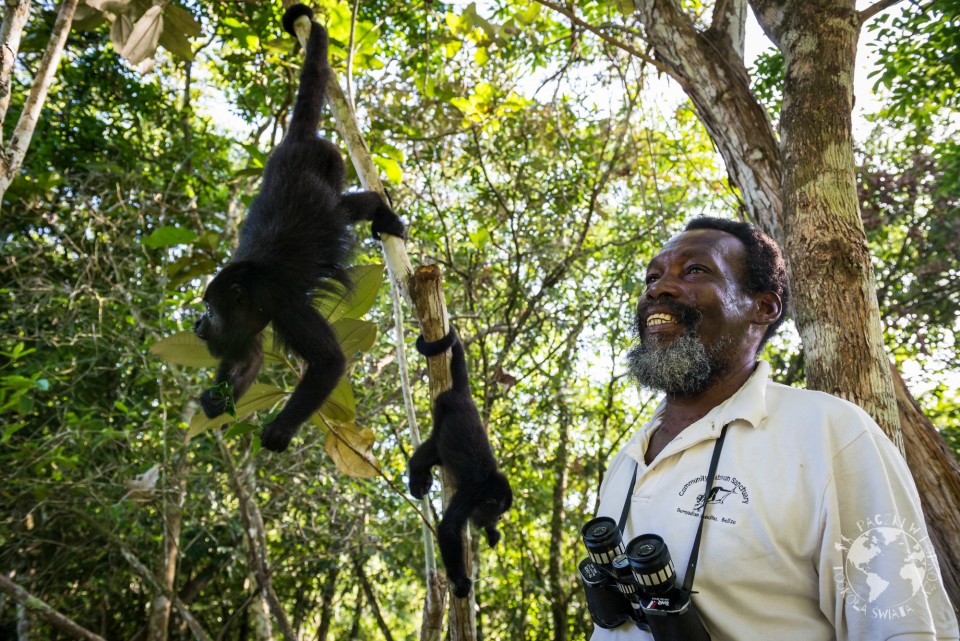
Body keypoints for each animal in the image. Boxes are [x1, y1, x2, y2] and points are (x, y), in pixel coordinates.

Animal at [193, 6, 404, 456]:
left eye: (210, 309)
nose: (197, 324)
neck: (251, 289)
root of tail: (292, 142)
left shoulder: (282, 305)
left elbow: (329, 361)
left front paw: (280, 429)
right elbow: (250, 360)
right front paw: (216, 399)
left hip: (329, 158)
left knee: (342, 207)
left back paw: (381, 212)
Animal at [406, 328, 512, 596]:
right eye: (497, 511)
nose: (497, 520)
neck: (488, 485)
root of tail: (463, 395)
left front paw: (493, 533)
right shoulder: (469, 495)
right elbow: (448, 530)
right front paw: (461, 581)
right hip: (442, 407)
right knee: (431, 448)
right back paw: (417, 474)